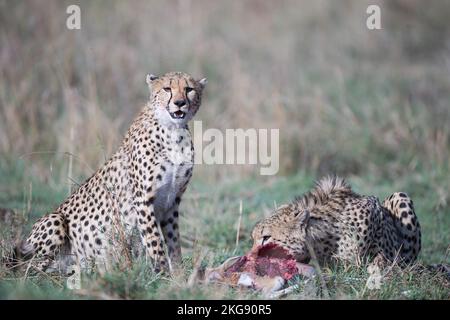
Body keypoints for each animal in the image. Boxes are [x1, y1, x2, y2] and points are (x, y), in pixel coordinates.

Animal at [15, 71, 208, 274]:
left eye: (189, 89)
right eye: (167, 89)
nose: (179, 103)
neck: (173, 131)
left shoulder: (171, 201)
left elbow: (173, 242)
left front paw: (178, 276)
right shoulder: (143, 200)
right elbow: (154, 241)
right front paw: (162, 275)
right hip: (55, 220)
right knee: (30, 269)